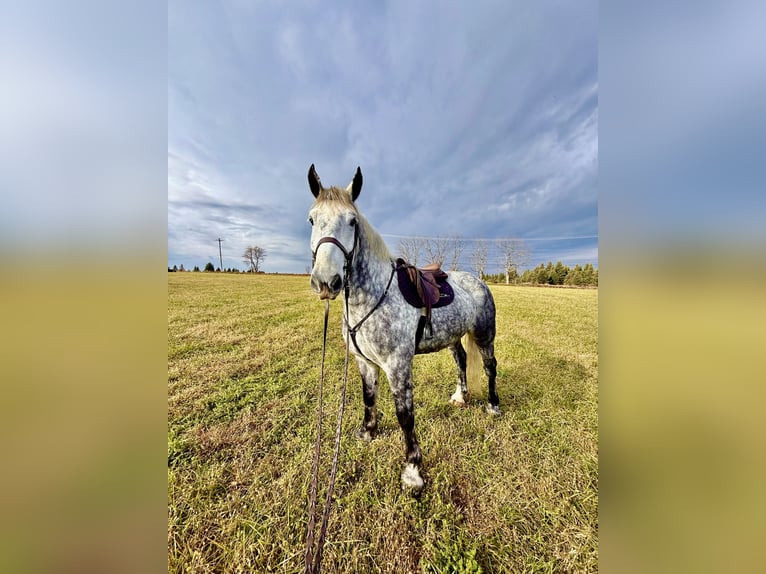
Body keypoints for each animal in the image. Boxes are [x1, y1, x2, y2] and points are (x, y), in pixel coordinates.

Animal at [306, 164, 500, 494]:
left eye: (352, 221)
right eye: (311, 219)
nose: (326, 281)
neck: (372, 296)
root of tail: (478, 281)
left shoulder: (397, 366)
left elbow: (405, 416)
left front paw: (413, 472)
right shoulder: (364, 362)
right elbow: (368, 397)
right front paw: (367, 432)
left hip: (484, 335)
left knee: (489, 367)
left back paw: (493, 406)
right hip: (453, 337)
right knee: (461, 360)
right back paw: (460, 396)